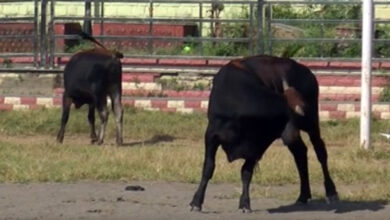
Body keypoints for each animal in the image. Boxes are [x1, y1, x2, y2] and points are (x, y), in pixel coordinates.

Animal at [190, 54, 338, 211]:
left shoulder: (257, 145)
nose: (293, 134)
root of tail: (306, 71)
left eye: (294, 114)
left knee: (320, 152)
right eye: (286, 115)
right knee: (301, 154)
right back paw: (303, 196)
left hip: (312, 125)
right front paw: (197, 202)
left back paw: (331, 192)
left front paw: (245, 203)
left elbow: (246, 172)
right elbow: (208, 167)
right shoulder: (211, 135)